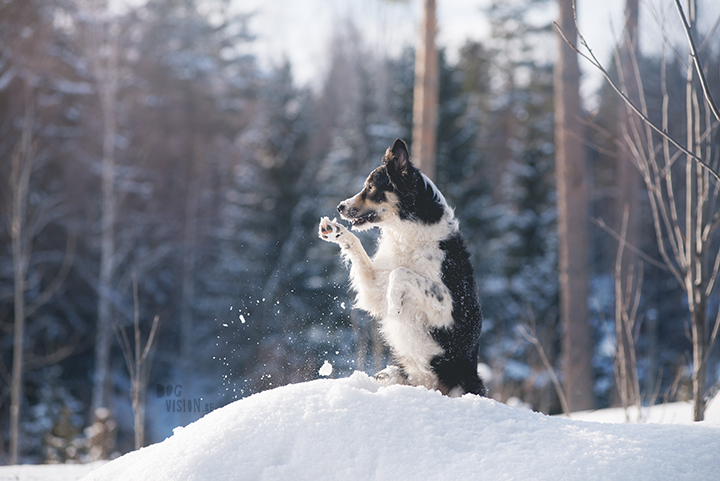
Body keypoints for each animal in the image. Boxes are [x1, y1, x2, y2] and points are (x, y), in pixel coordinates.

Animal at [318, 137, 486, 396]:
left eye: (370, 187)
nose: (340, 207)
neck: (407, 233)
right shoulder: (374, 289)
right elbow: (357, 246)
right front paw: (335, 231)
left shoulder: (450, 310)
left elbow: (401, 273)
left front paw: (395, 304)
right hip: (392, 373)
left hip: (463, 383)